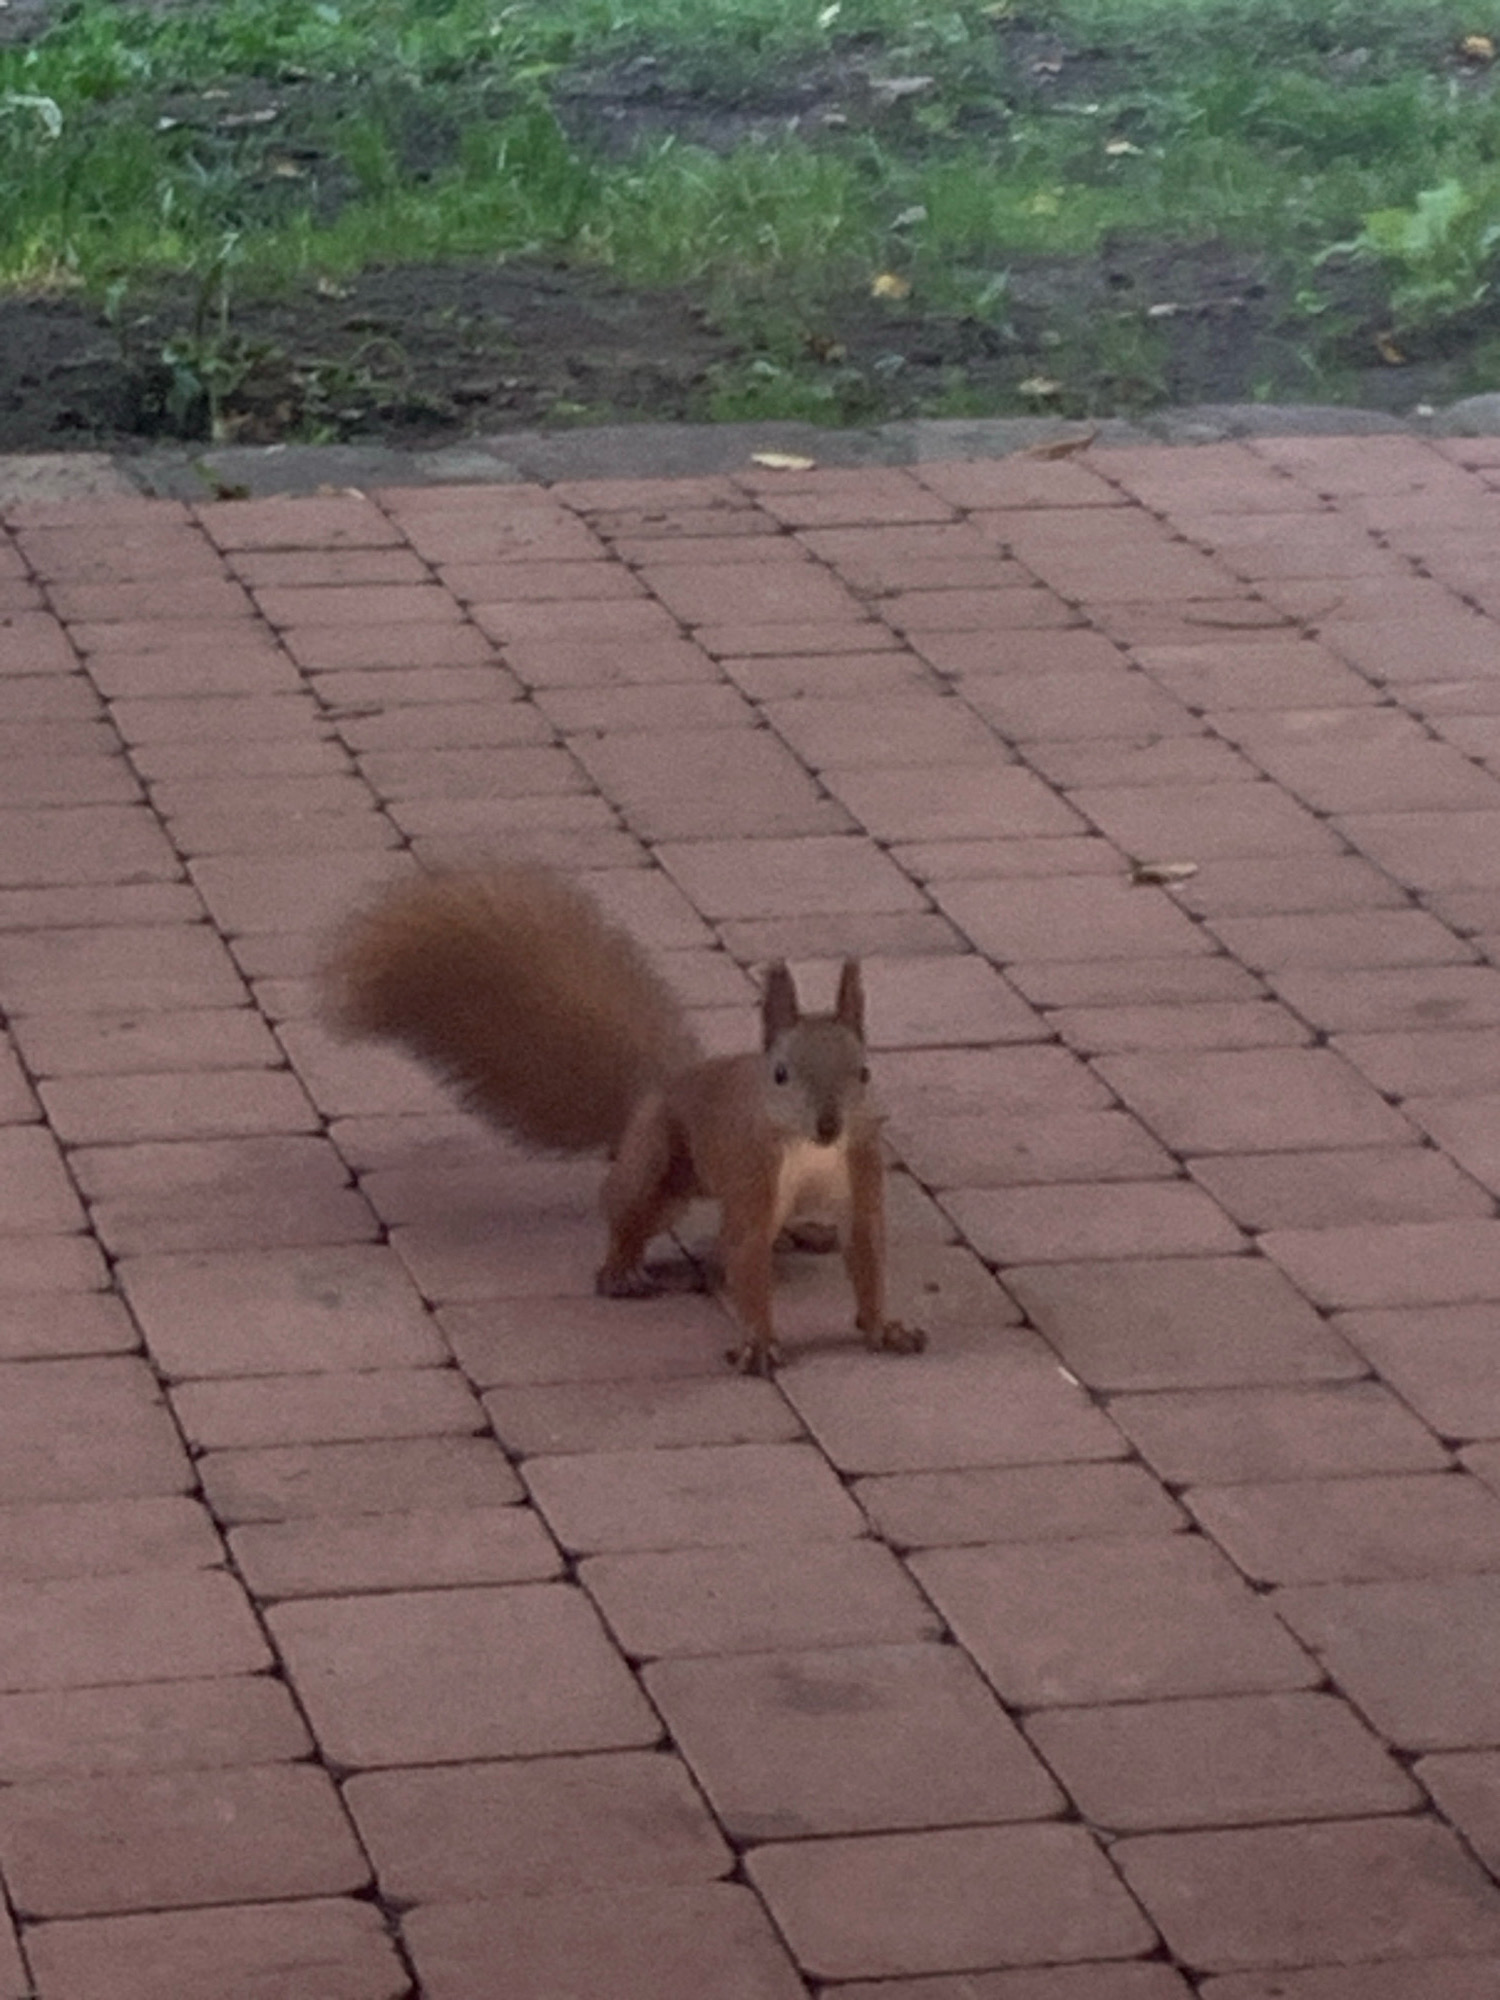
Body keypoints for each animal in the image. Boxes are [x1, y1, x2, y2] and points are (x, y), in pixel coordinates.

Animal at [321, 862, 927, 1375]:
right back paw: (621, 1271)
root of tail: (658, 1089)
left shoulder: (861, 1171)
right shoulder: (754, 1176)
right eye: (779, 1074)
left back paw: (803, 1231)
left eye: (865, 1072)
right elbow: (747, 1255)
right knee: (628, 1214)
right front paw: (758, 1343)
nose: (828, 1125)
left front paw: (884, 1328)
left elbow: (866, 1253)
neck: (811, 1153)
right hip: (657, 1162)